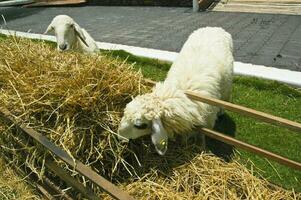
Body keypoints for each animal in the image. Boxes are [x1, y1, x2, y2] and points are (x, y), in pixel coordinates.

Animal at [116, 27, 232, 155]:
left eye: (140, 125)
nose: (119, 137)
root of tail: (213, 27)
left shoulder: (205, 124)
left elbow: (201, 138)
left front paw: (201, 148)